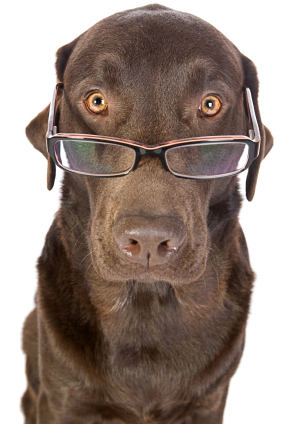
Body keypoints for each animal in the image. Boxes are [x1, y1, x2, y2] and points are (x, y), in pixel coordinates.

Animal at [22, 4, 276, 424]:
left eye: (210, 104)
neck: (147, 302)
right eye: (96, 101)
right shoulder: (62, 400)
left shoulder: (209, 400)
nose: (149, 240)